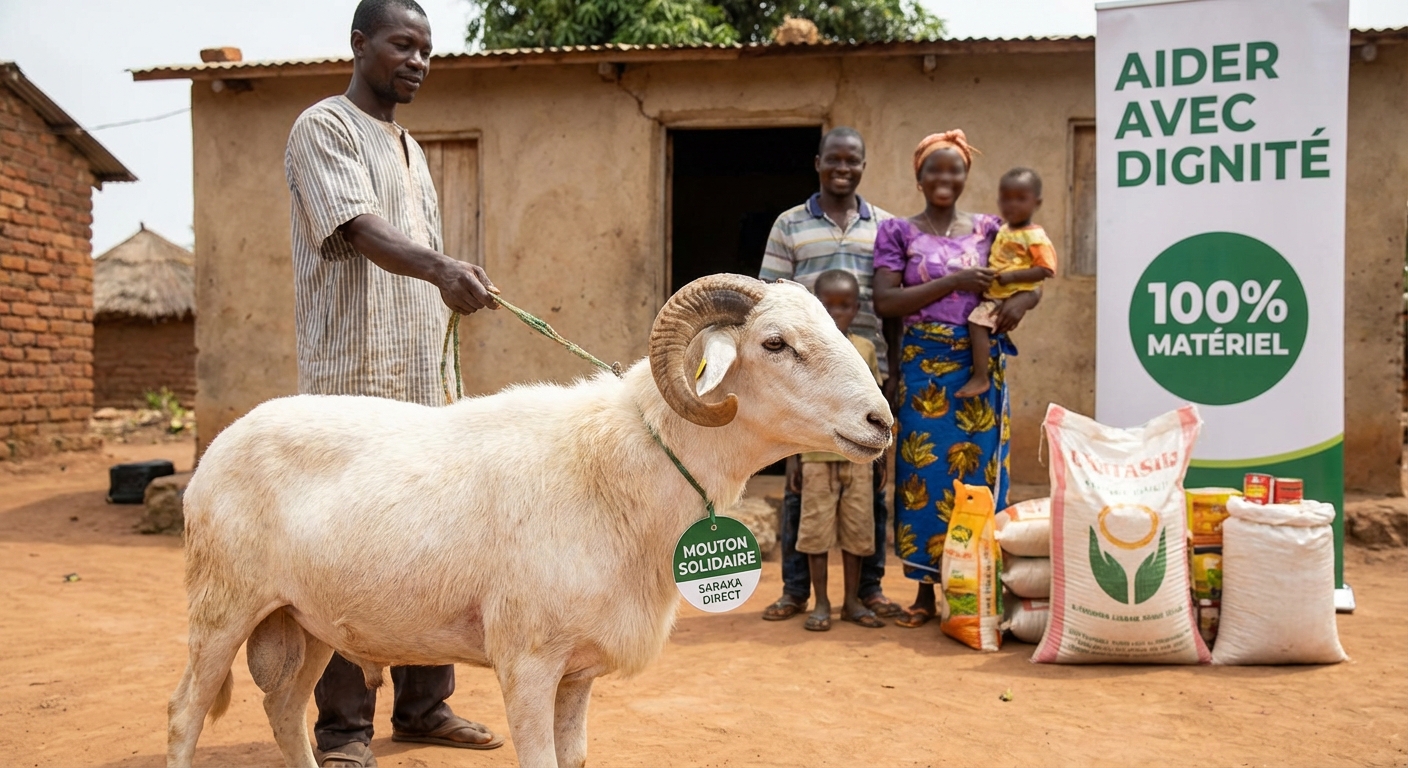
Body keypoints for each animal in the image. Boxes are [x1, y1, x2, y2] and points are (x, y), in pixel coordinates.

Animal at [166, 274, 893, 768]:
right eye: (775, 343)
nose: (881, 422)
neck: (620, 473)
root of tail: (219, 445)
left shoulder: (578, 671)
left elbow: (572, 760)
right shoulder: (527, 660)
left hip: (305, 618)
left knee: (283, 711)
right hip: (221, 606)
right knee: (184, 714)